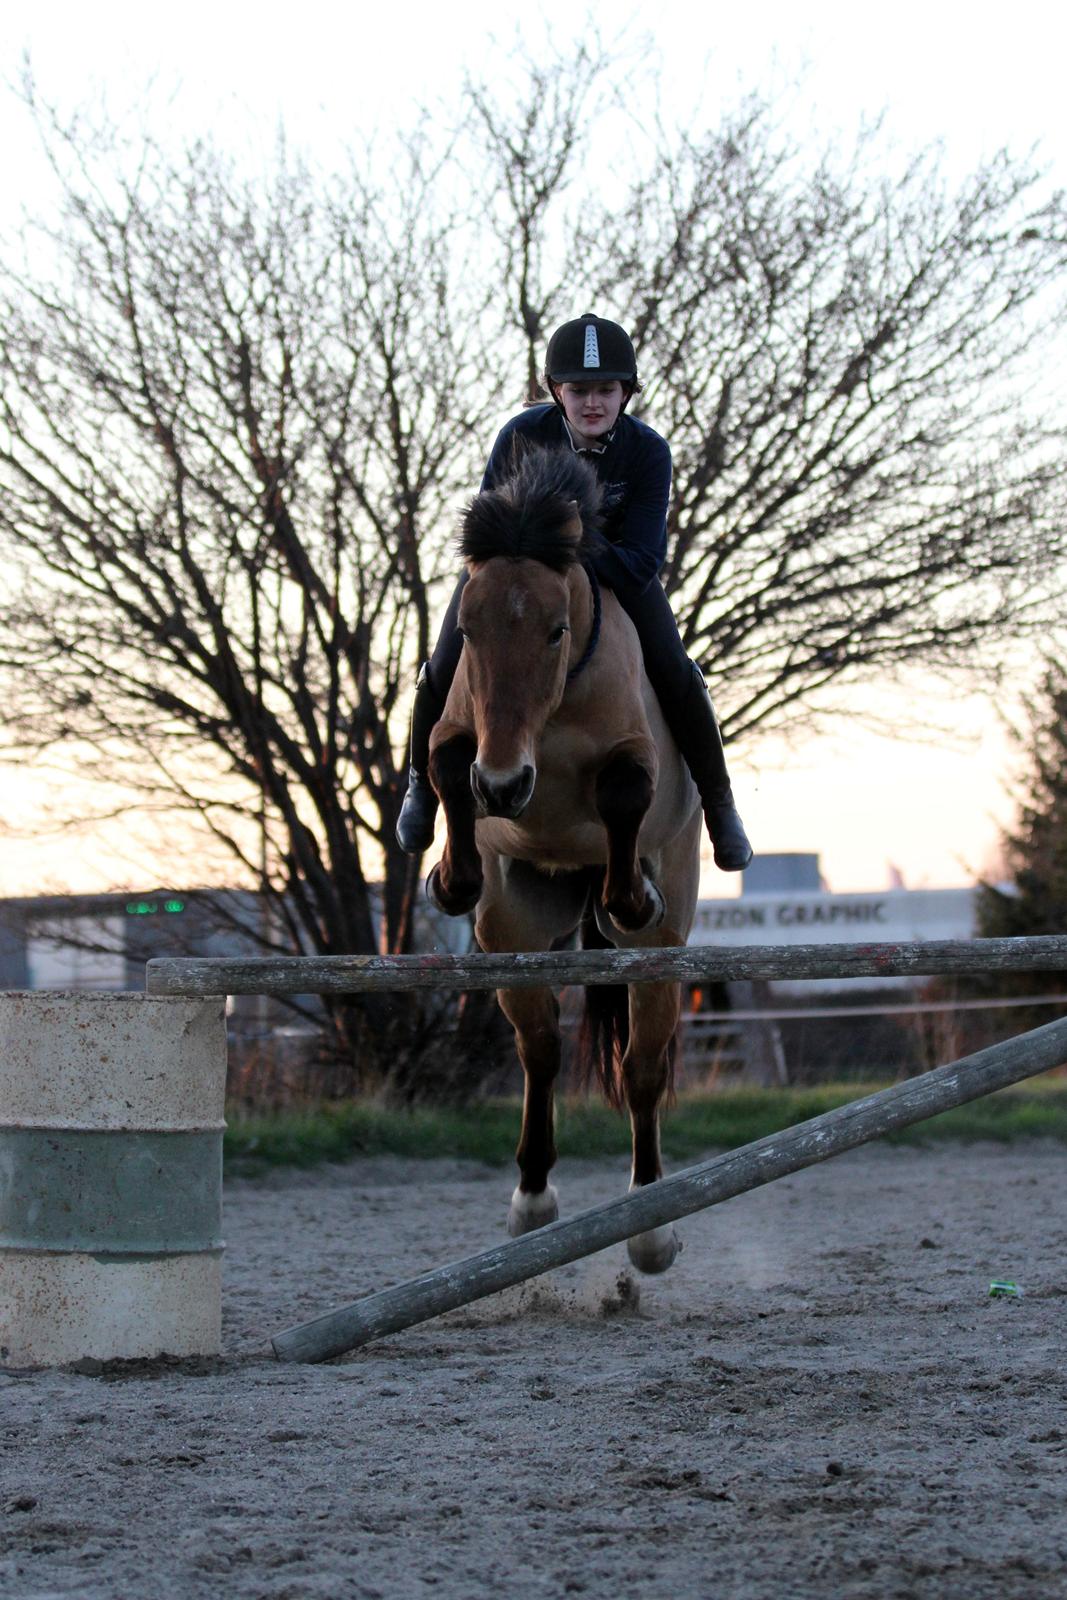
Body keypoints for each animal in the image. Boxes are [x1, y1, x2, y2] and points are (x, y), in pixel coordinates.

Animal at [428, 444, 703, 1267]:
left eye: (555, 630)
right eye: (470, 628)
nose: (504, 784)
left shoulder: (632, 758)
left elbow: (623, 790)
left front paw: (631, 894)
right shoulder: (464, 732)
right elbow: (443, 761)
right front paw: (450, 878)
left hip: (664, 951)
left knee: (641, 1068)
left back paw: (649, 1228)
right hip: (514, 932)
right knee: (541, 1047)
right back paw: (532, 1200)